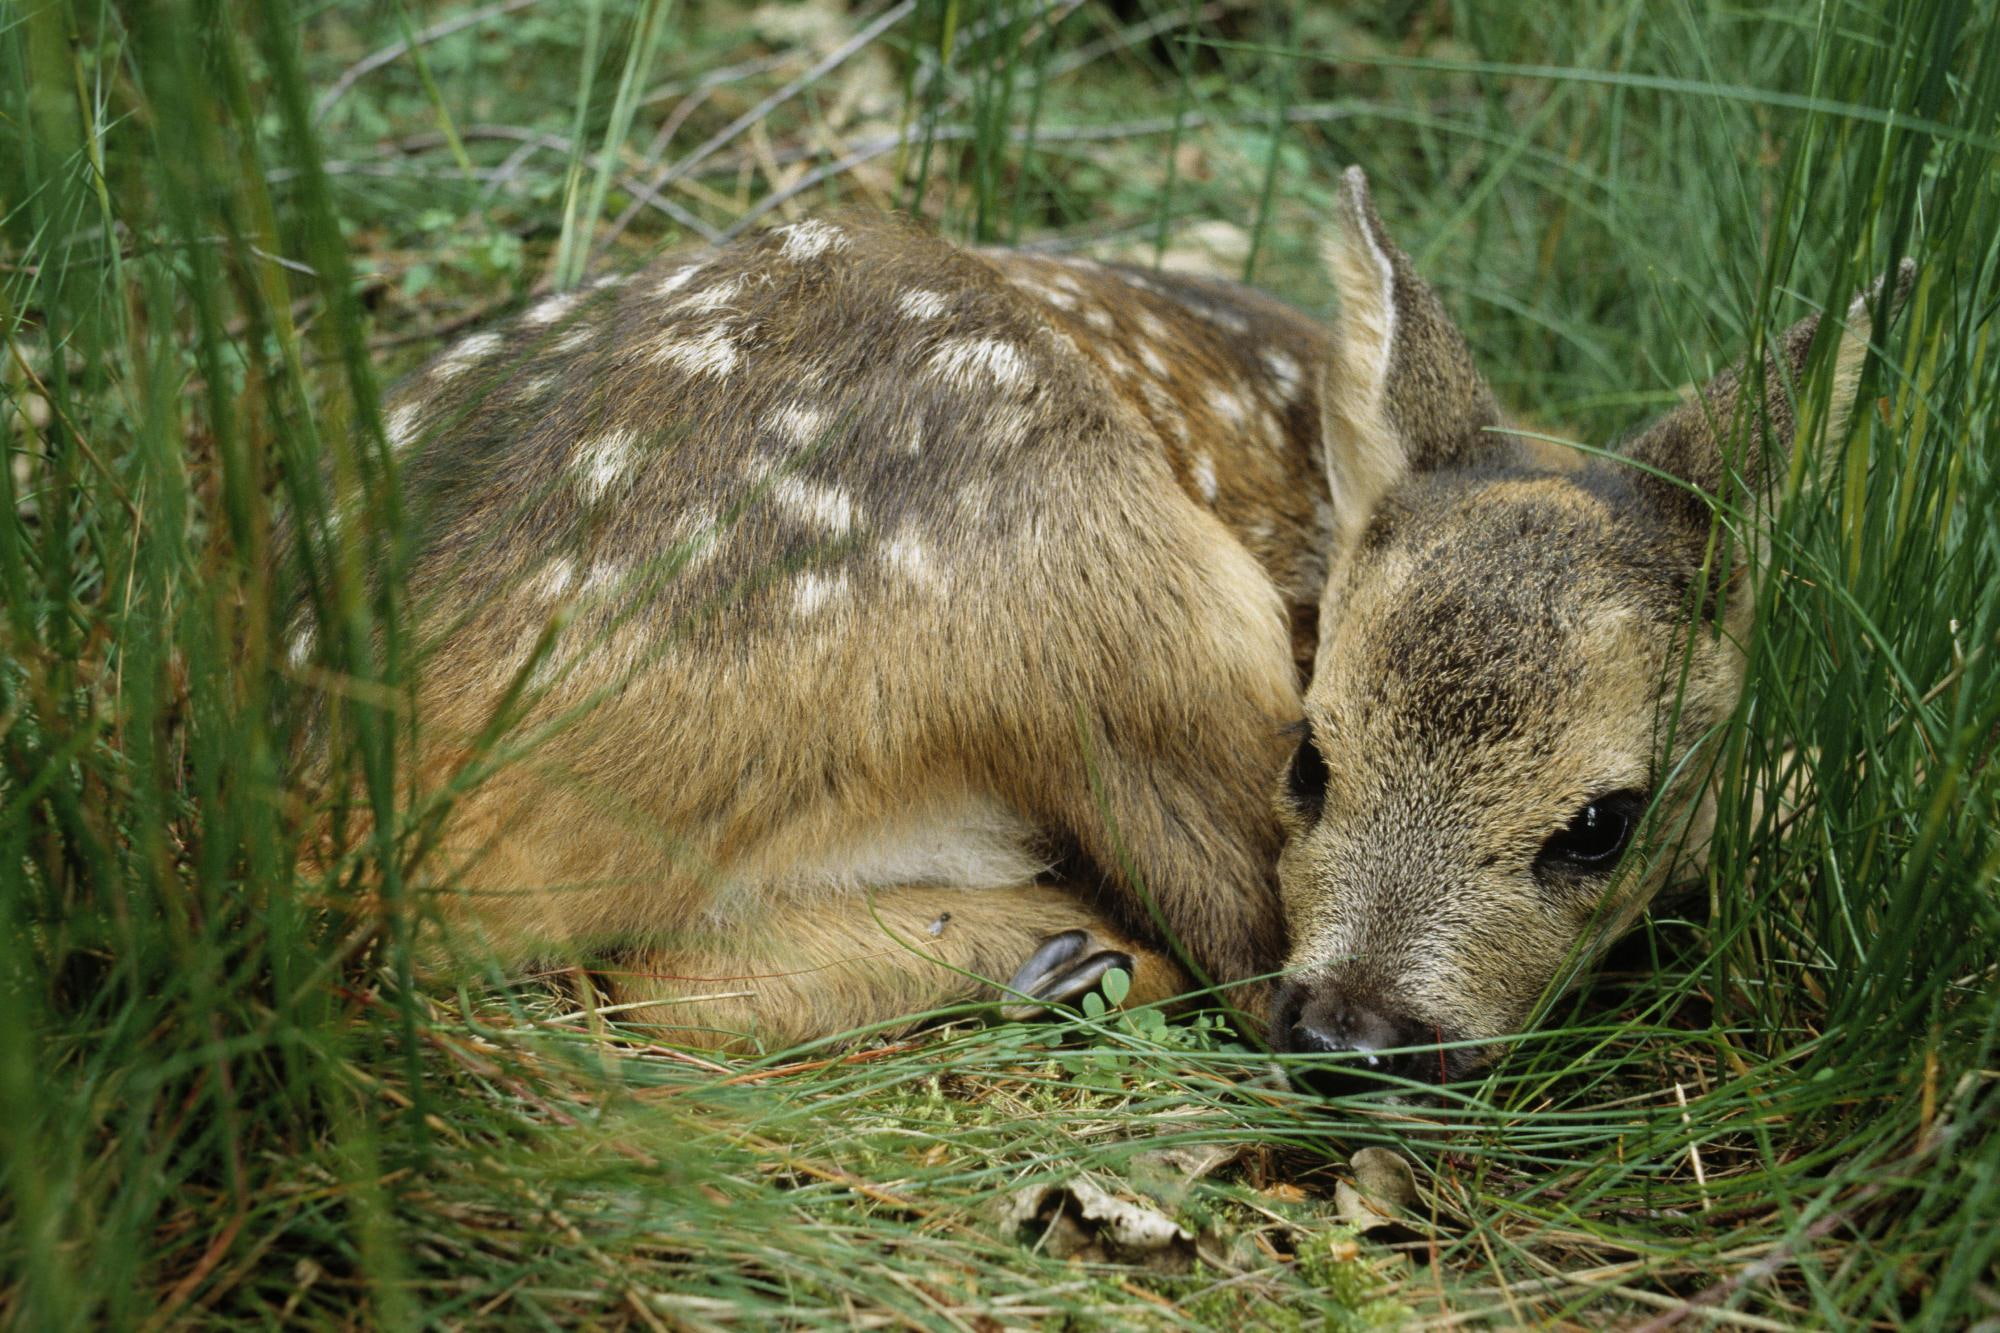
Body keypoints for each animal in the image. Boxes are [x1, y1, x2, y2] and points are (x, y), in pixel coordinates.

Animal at [305, 167, 1900, 1086]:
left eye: (1599, 823)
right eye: (1310, 759)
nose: (1356, 1037)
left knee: (652, 981)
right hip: (1100, 561)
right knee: (1224, 939)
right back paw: (1071, 955)